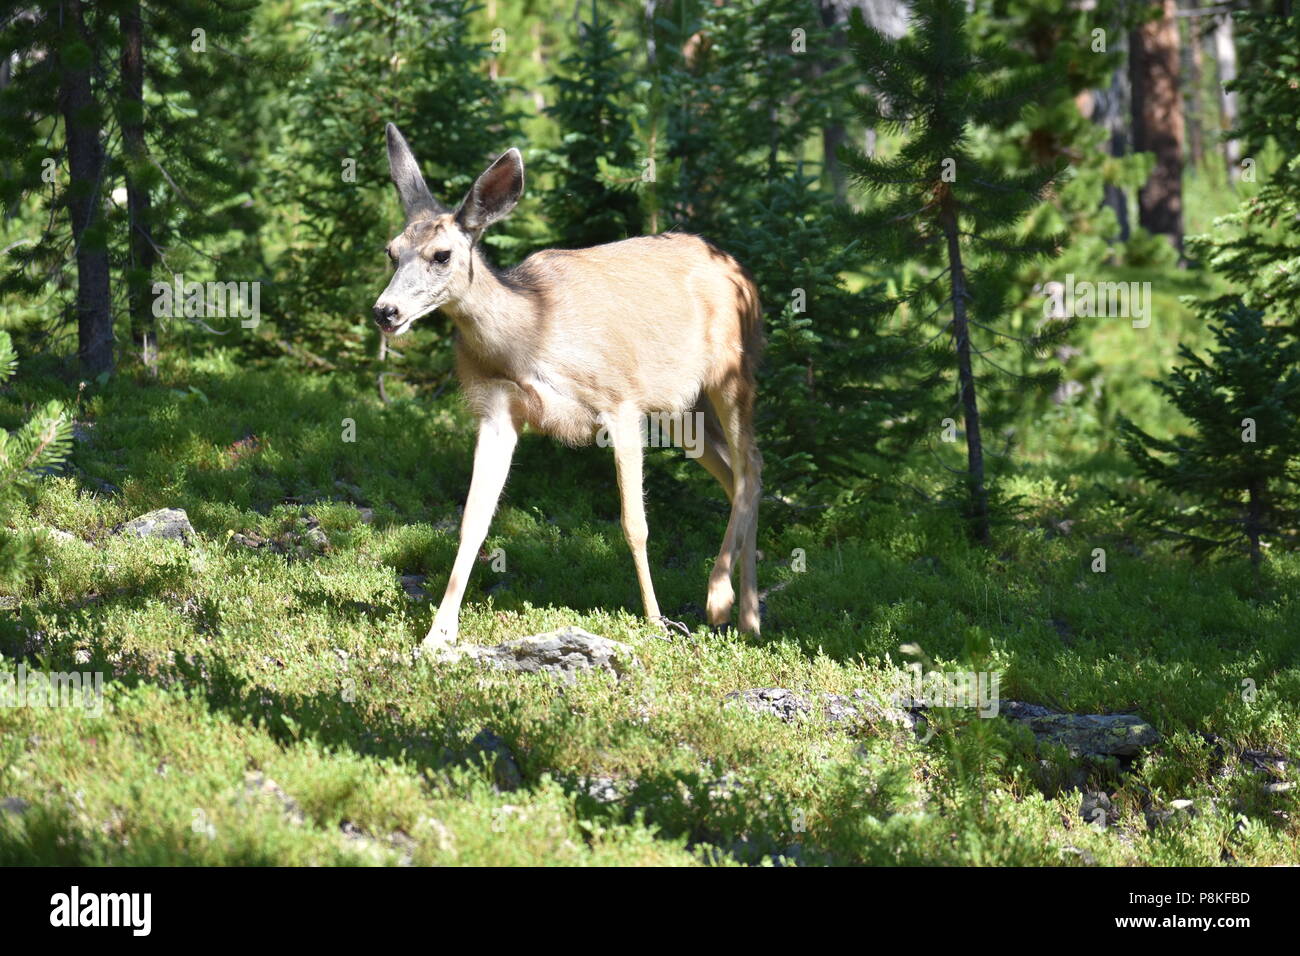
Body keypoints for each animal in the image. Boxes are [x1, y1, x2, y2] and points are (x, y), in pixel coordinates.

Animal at [371, 124, 764, 654]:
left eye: (442, 255)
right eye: (392, 251)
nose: (385, 312)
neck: (529, 335)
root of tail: (743, 273)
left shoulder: (621, 400)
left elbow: (634, 524)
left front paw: (655, 623)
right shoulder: (497, 411)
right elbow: (473, 519)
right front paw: (439, 634)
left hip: (732, 373)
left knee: (750, 466)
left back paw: (721, 598)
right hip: (682, 408)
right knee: (737, 471)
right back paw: (748, 616)